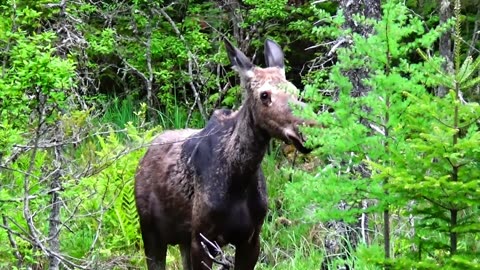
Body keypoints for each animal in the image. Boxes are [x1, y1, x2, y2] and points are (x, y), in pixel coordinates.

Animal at [135, 38, 314, 270]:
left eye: (296, 90)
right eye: (264, 95)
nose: (308, 132)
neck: (240, 178)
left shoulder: (251, 238)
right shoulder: (202, 240)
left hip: (182, 239)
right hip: (151, 232)